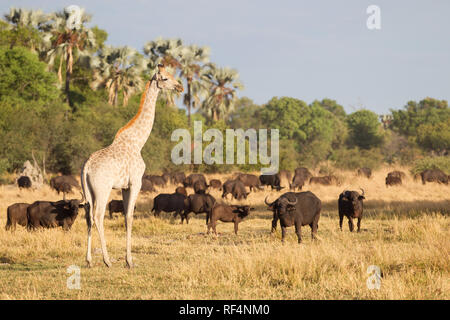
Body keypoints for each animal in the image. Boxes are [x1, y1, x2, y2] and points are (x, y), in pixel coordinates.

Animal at [81, 64, 183, 268]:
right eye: (165, 78)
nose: (180, 87)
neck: (138, 142)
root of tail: (86, 167)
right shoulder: (136, 182)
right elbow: (129, 216)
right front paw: (129, 261)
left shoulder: (124, 187)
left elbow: (127, 217)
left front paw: (127, 259)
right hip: (102, 189)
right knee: (98, 216)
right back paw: (107, 260)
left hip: (87, 192)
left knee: (88, 217)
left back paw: (89, 260)